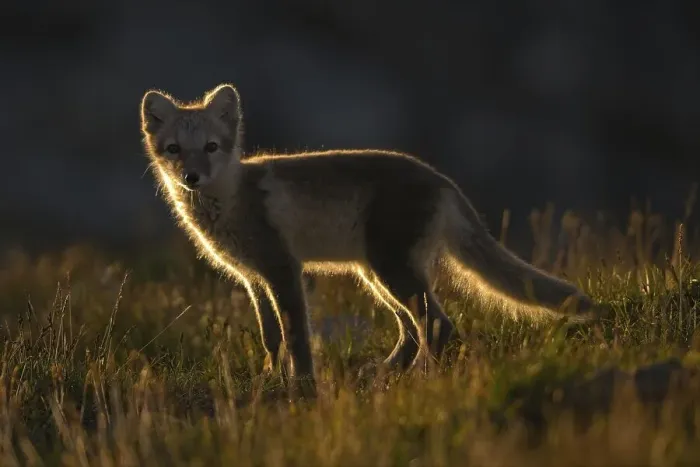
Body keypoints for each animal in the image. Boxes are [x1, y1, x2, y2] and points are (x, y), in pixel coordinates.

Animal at [139, 83, 598, 395]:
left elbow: (296, 336)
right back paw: (387, 374)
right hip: (376, 275)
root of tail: (441, 179)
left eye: (211, 147)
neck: (232, 198)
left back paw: (417, 381)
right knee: (412, 329)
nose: (191, 178)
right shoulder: (253, 278)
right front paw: (270, 378)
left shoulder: (283, 270)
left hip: (390, 269)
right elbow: (271, 338)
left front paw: (302, 387)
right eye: (174, 149)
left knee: (437, 324)